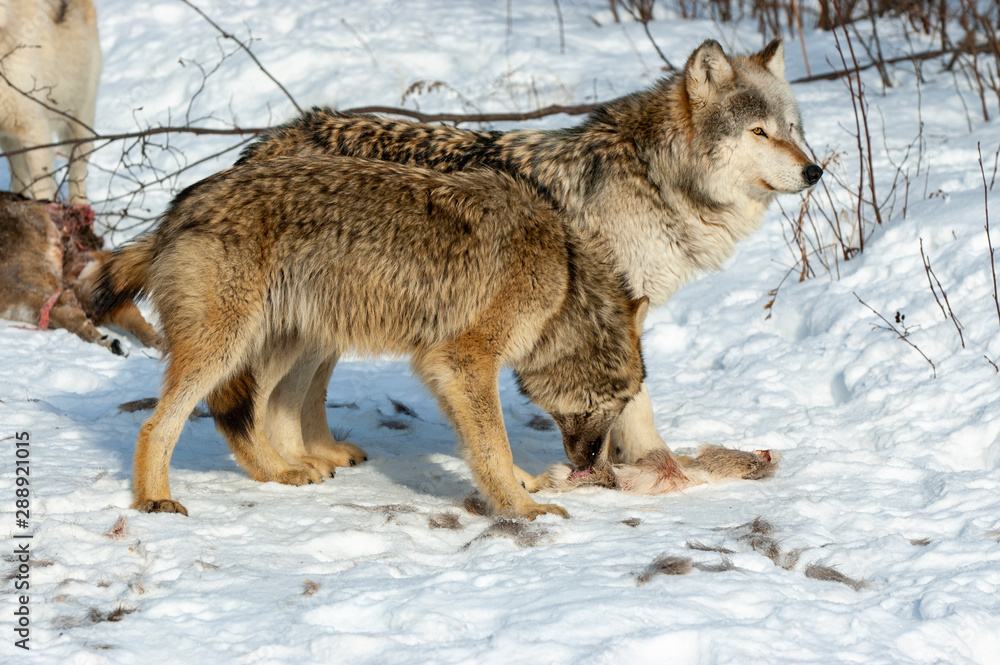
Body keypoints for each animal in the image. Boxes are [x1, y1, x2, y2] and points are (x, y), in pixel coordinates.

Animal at [94, 156, 648, 519]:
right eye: (620, 401)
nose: (594, 467)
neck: (565, 281)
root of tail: (174, 213)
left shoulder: (444, 371)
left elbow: (484, 446)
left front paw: (519, 487)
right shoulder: (464, 361)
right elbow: (493, 444)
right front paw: (522, 508)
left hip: (289, 341)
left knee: (250, 411)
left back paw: (282, 471)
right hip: (226, 345)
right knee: (160, 424)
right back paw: (155, 499)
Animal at [234, 38, 822, 484]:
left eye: (793, 130)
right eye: (759, 131)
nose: (815, 171)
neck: (650, 182)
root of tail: (269, 141)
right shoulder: (615, 308)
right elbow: (638, 404)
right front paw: (658, 464)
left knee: (298, 392)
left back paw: (321, 454)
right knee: (267, 393)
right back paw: (286, 466)